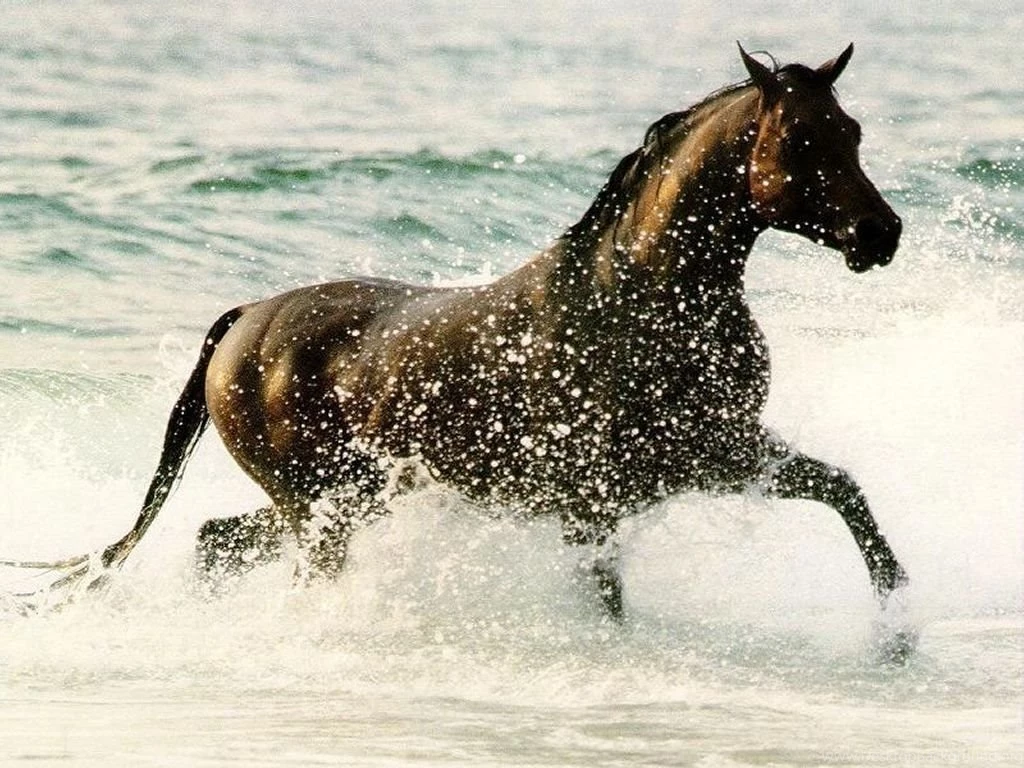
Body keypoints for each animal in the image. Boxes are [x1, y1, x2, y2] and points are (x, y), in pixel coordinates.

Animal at [6, 44, 908, 632]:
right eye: (798, 141)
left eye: (854, 132)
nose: (881, 233)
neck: (641, 300)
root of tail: (245, 322)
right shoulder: (598, 500)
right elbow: (608, 598)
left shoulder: (716, 454)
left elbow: (846, 493)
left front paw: (900, 624)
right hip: (320, 507)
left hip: (344, 499)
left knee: (215, 541)